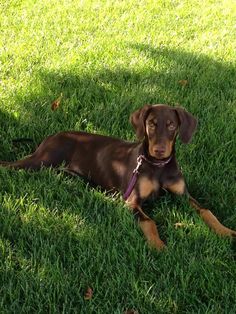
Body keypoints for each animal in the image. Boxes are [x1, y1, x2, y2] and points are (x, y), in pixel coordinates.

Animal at [0, 104, 235, 249]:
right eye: (151, 123)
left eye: (171, 125)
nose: (159, 151)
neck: (157, 166)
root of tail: (49, 138)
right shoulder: (132, 201)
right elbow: (149, 221)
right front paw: (158, 246)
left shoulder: (183, 195)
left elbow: (206, 211)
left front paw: (225, 231)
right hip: (41, 162)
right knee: (9, 165)